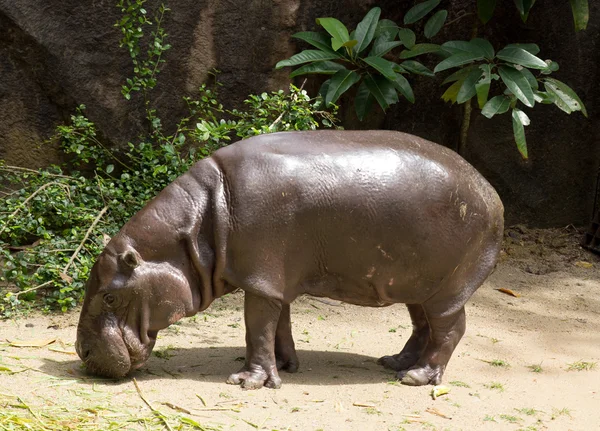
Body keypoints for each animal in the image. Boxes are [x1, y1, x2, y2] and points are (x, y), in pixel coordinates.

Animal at [76, 130, 506, 390]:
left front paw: (246, 382)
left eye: (110, 296)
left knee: (451, 329)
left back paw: (417, 377)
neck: (191, 232)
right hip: (416, 282)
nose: (81, 352)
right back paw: (394, 362)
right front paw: (283, 368)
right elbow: (277, 325)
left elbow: (256, 327)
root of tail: (491, 193)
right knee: (422, 325)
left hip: (446, 288)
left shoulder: (261, 279)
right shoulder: (273, 280)